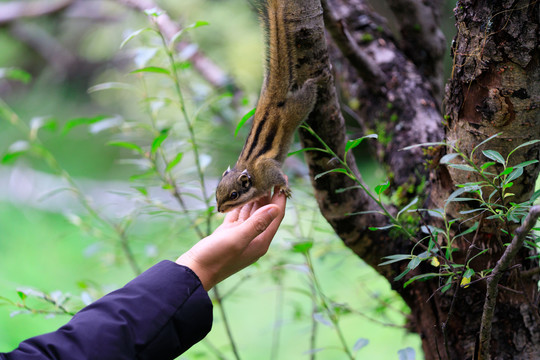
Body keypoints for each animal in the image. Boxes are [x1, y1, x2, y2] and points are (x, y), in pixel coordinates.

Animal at [215, 0, 324, 214]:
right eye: (217, 194)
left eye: (234, 195)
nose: (220, 210)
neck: (252, 176)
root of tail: (271, 98)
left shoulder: (267, 169)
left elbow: (279, 177)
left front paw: (284, 187)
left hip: (298, 108)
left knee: (308, 93)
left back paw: (316, 80)